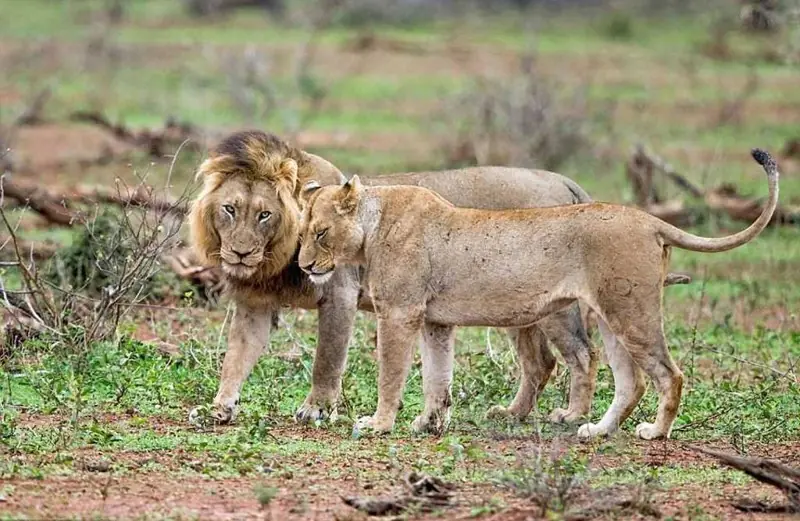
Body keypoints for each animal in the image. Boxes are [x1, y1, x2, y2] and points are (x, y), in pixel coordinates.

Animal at [187, 130, 688, 429]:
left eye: (265, 214)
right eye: (229, 209)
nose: (239, 253)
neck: (275, 259)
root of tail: (562, 180)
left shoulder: (342, 296)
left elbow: (327, 361)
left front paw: (316, 410)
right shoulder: (255, 304)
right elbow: (236, 358)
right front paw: (219, 407)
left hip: (554, 307)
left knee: (582, 356)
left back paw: (570, 416)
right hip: (517, 309)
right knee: (541, 362)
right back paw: (514, 413)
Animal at [296, 148, 778, 439]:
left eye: (320, 233)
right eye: (300, 232)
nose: (302, 266)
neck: (372, 225)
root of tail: (649, 219)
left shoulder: (399, 312)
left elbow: (391, 373)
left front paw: (378, 424)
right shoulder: (435, 321)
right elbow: (438, 377)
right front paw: (428, 423)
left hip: (629, 312)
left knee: (666, 374)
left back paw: (654, 432)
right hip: (611, 316)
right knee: (630, 380)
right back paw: (596, 431)